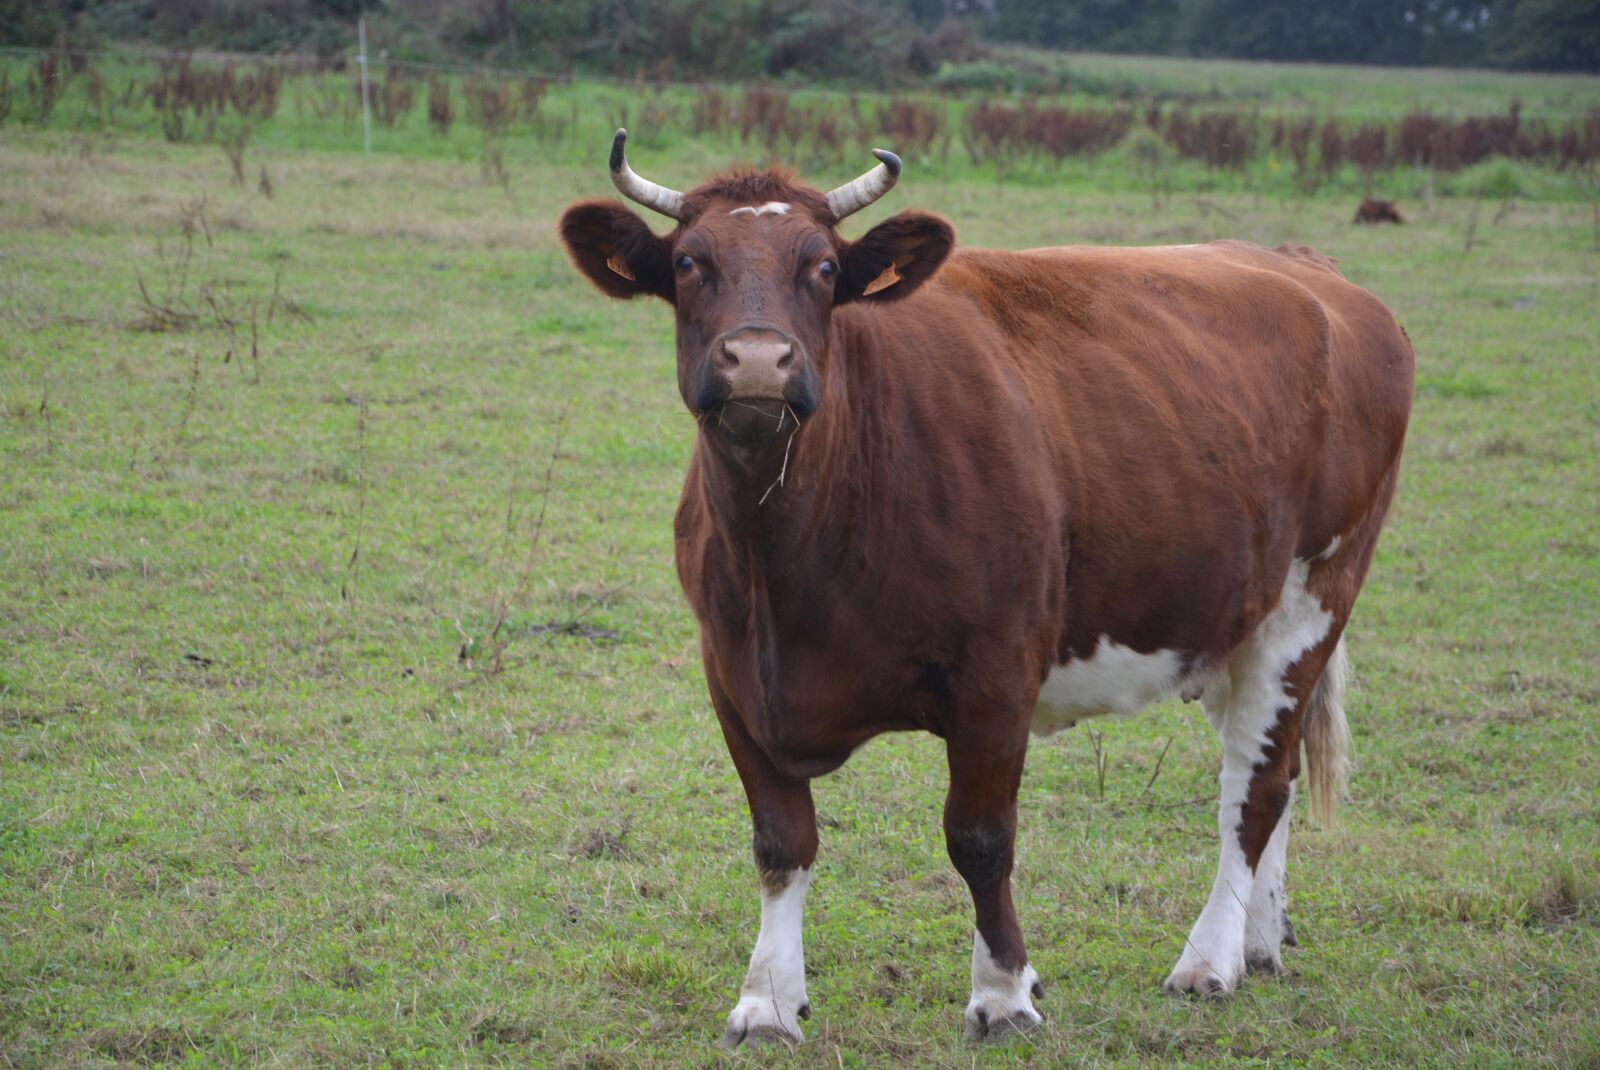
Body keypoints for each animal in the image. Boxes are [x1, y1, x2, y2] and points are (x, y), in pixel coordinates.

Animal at [558, 131, 1414, 1045]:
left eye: (822, 266)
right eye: (690, 262)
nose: (758, 361)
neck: (788, 563)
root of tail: (1306, 265)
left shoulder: (998, 673)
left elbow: (979, 837)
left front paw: (1004, 992)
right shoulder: (732, 674)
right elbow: (781, 840)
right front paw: (767, 999)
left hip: (1312, 596)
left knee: (1252, 786)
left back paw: (1210, 957)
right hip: (1231, 616)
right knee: (1270, 771)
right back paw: (1260, 937)